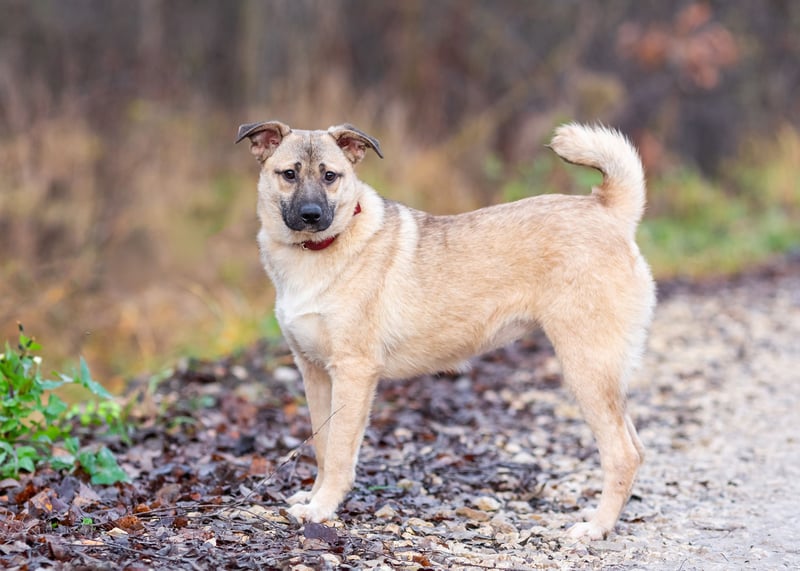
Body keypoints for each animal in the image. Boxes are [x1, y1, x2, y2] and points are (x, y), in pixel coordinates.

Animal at [236, 120, 655, 540]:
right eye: (289, 174)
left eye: (330, 176)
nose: (311, 215)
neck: (316, 252)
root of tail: (607, 209)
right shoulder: (315, 373)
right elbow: (323, 446)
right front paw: (314, 497)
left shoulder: (353, 373)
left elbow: (339, 453)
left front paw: (321, 509)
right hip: (602, 376)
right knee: (636, 448)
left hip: (587, 370)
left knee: (623, 454)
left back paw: (596, 527)